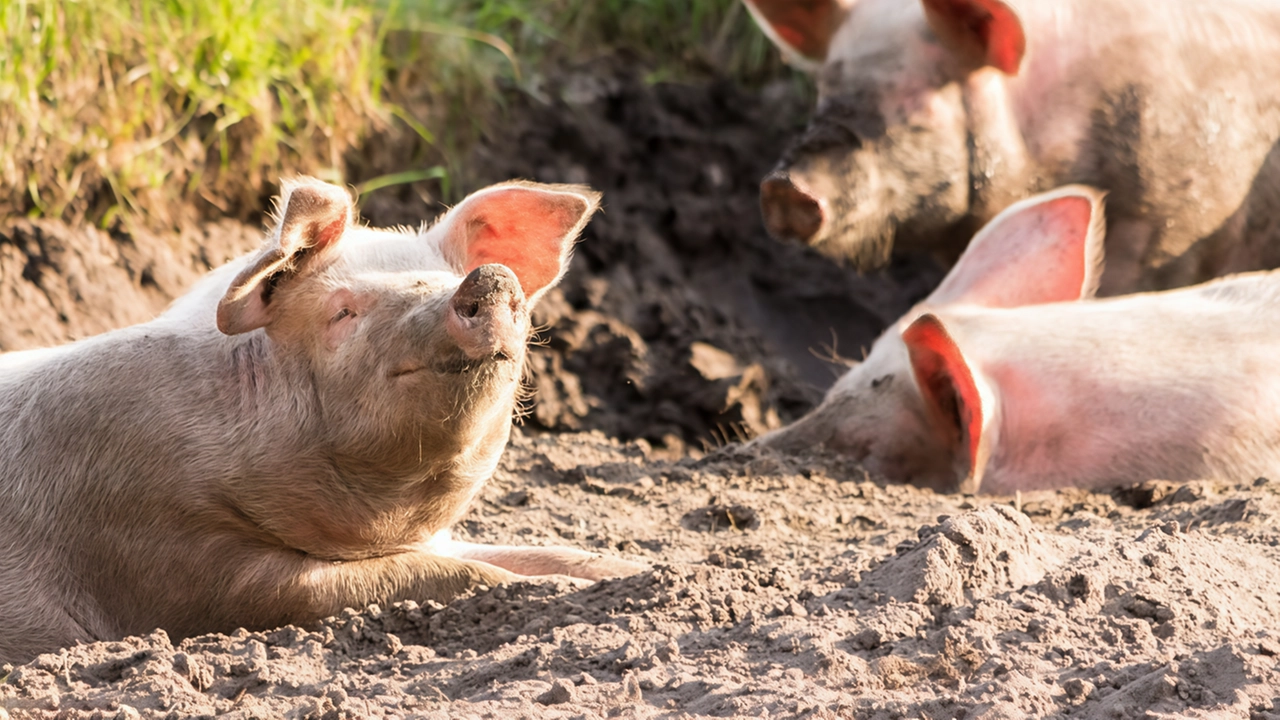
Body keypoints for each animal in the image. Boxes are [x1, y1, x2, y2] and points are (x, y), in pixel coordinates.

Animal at [0, 174, 645, 661]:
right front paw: (557, 590)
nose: (487, 277)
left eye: (443, 279)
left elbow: (539, 552)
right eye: (343, 312)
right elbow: (440, 576)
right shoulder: (171, 554)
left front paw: (641, 570)